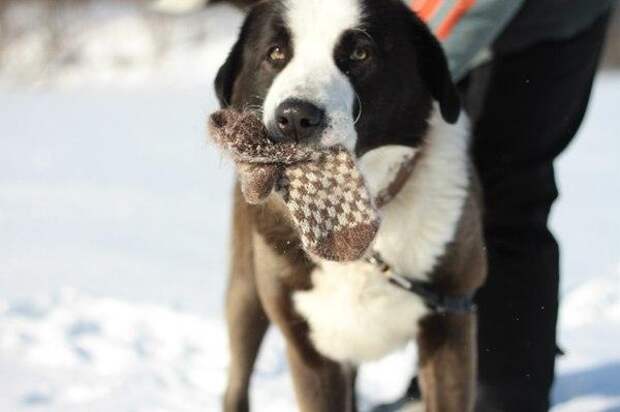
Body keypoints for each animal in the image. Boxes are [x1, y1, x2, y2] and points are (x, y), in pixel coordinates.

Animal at [214, 1, 490, 410]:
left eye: (360, 54)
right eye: (275, 53)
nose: (294, 118)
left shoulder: (450, 321)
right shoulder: (310, 348)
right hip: (247, 290)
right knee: (238, 374)